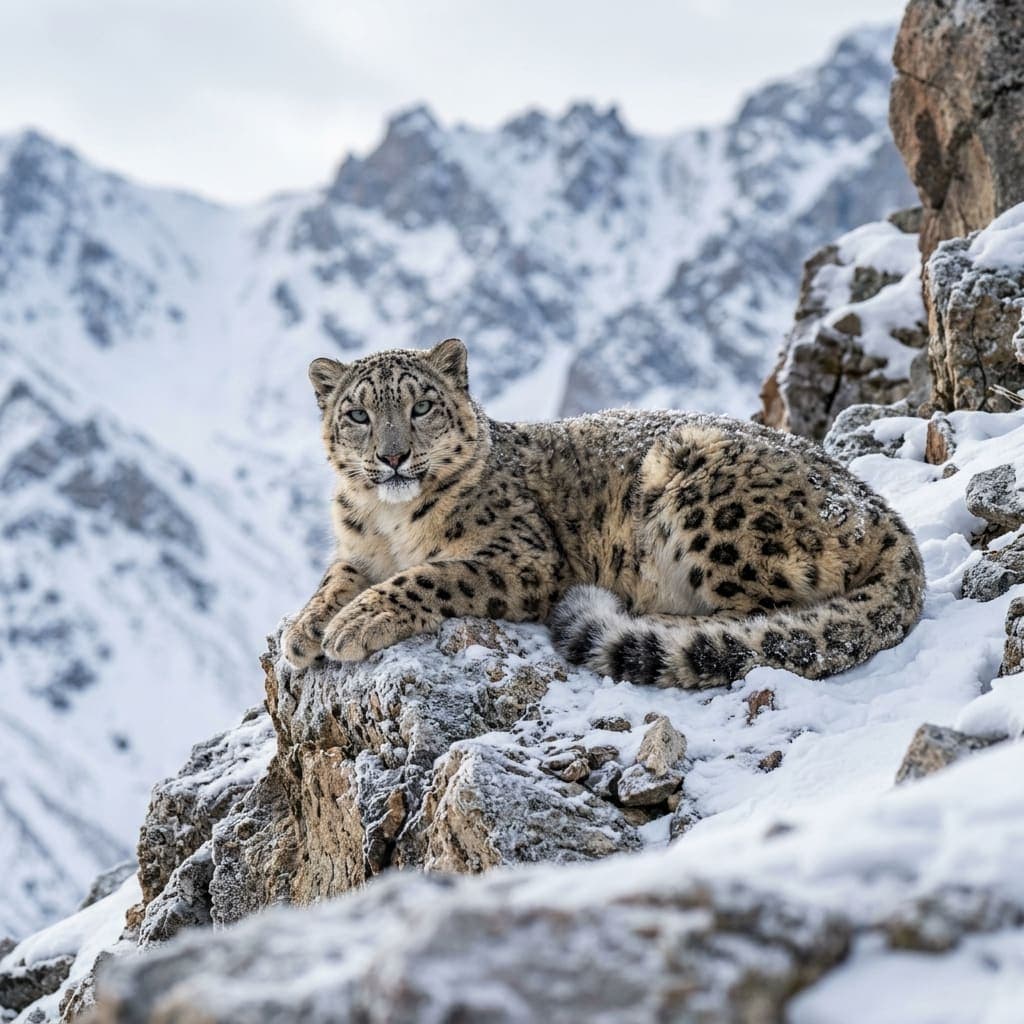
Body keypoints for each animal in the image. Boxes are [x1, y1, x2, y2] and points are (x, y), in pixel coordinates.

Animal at [282, 338, 925, 689]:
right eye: (358, 415)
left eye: (421, 406)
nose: (392, 457)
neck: (389, 522)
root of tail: (882, 510)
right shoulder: (357, 550)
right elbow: (332, 579)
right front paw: (305, 629)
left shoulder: (521, 556)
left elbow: (432, 574)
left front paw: (355, 623)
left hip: (704, 500)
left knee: (763, 612)